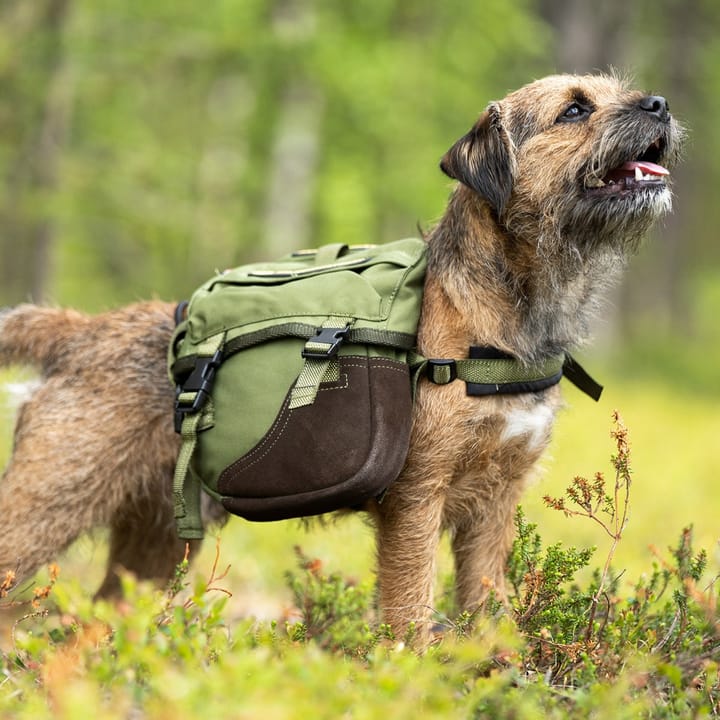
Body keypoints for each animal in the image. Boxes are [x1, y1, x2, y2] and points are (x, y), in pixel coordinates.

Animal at [0, 74, 688, 648]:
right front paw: (412, 675)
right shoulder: (418, 497)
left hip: (158, 537)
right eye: (574, 109)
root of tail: (79, 332)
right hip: (49, 505)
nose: (660, 103)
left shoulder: (495, 507)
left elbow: (487, 605)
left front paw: (496, 673)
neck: (506, 310)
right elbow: (410, 606)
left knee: (110, 608)